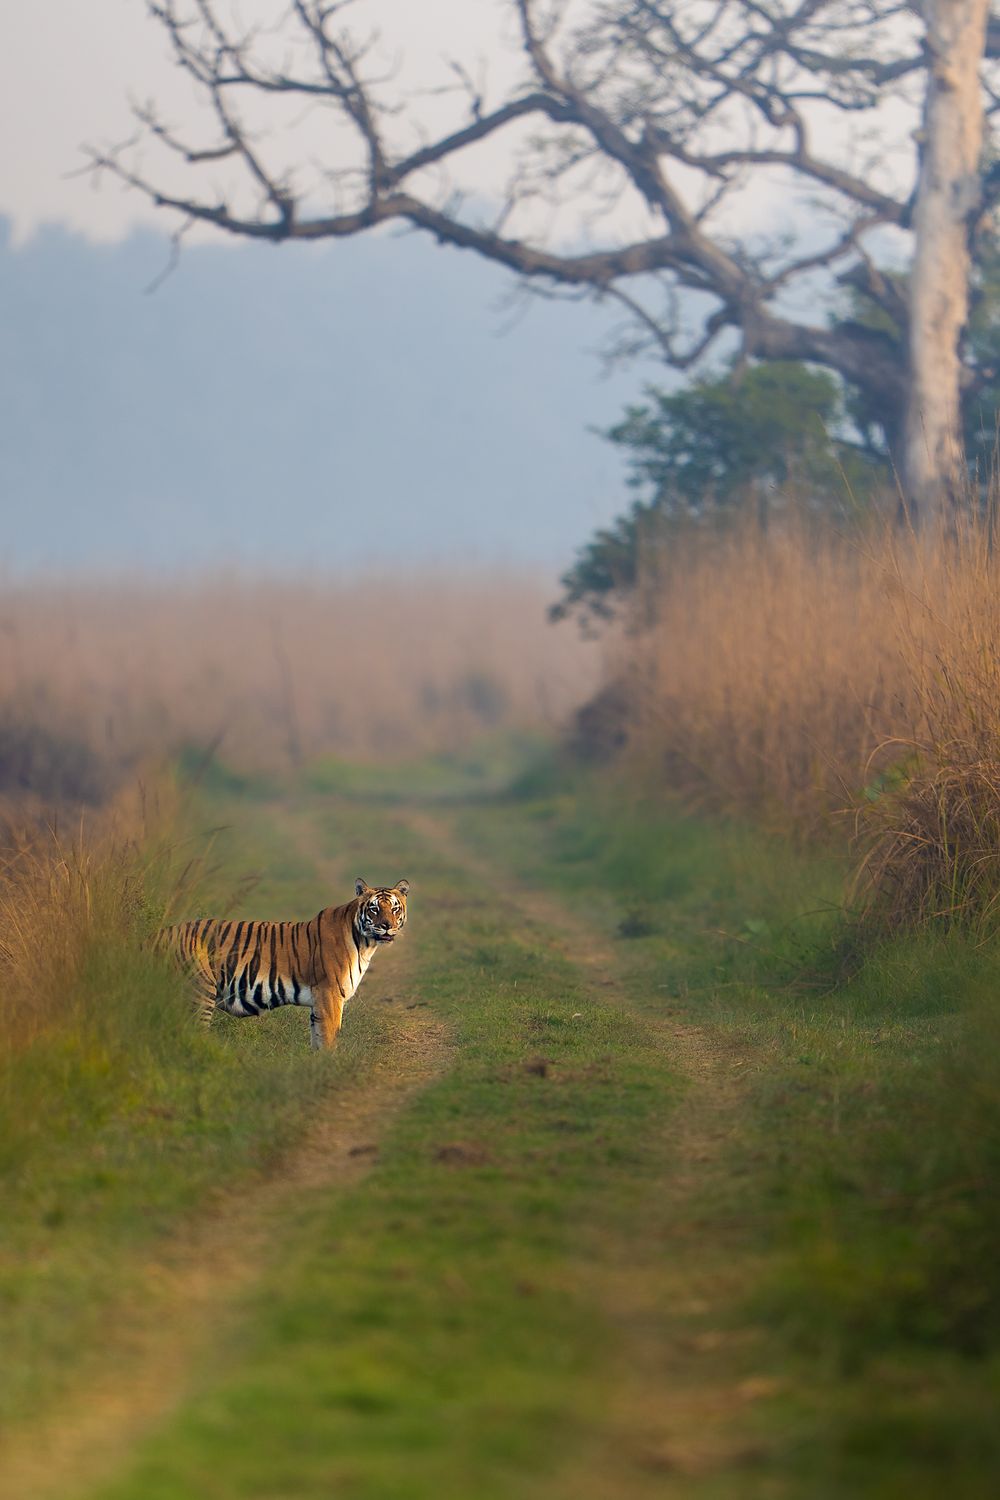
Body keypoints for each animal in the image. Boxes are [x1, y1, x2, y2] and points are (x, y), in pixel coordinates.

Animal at [158, 878, 409, 1050]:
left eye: (394, 908)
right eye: (374, 908)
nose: (387, 926)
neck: (366, 943)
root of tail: (163, 933)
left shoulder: (319, 1003)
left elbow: (317, 1040)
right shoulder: (329, 995)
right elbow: (329, 1040)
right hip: (198, 992)